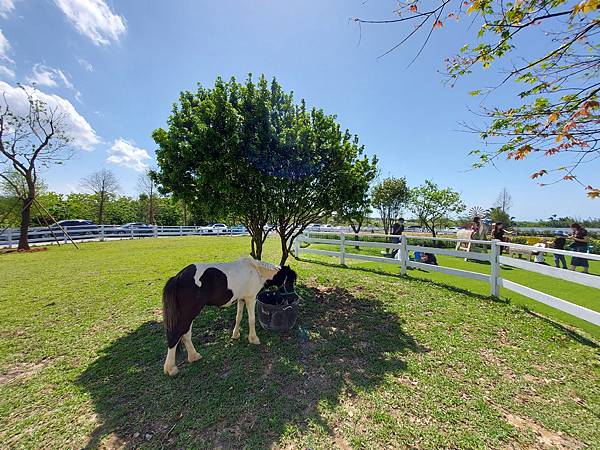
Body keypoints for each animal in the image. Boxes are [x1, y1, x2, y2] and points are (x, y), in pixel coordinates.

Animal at [163, 256, 296, 376]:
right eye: (289, 281)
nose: (293, 298)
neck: (257, 271)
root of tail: (178, 277)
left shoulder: (241, 299)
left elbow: (239, 317)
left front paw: (235, 335)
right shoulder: (250, 298)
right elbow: (251, 319)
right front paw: (253, 339)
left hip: (188, 315)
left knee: (186, 334)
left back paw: (194, 356)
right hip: (189, 313)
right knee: (176, 334)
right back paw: (171, 369)